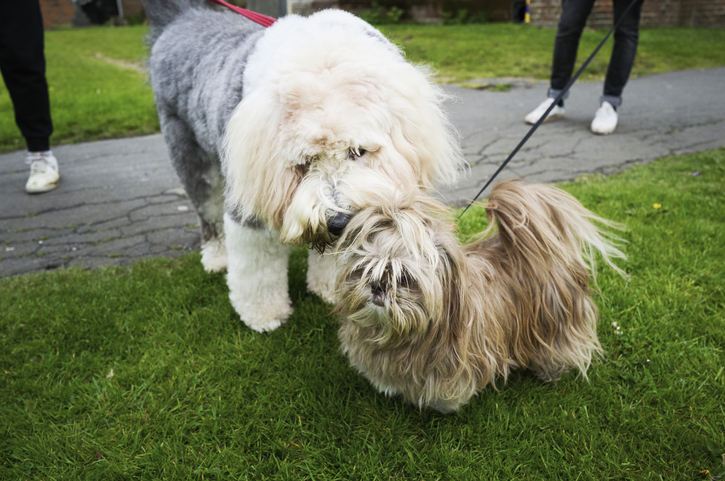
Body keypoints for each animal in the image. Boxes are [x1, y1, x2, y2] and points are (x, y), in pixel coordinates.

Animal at [144, 0, 464, 332]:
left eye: (358, 151)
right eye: (306, 161)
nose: (338, 221)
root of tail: (183, 17)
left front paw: (329, 289)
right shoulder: (251, 193)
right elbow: (257, 265)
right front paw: (264, 315)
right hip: (189, 152)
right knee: (207, 212)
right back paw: (217, 259)